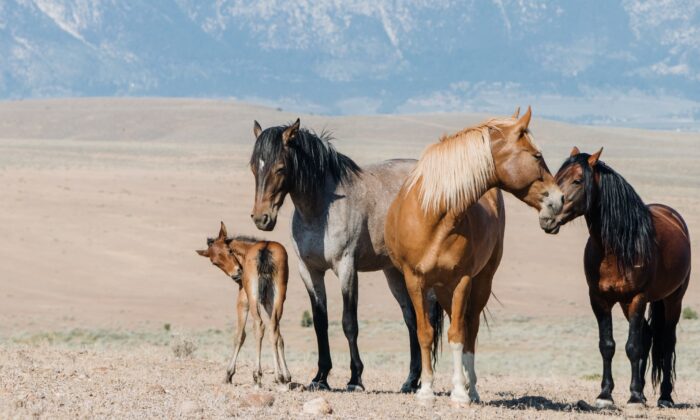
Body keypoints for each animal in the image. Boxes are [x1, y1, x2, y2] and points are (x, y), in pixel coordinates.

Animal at [194, 223, 290, 388]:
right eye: (214, 262)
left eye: (229, 251)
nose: (236, 274)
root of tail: (264, 250)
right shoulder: (268, 302)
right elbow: (279, 336)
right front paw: (286, 375)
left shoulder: (243, 300)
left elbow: (239, 335)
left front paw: (228, 374)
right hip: (278, 296)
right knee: (272, 328)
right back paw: (278, 376)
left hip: (252, 297)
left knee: (259, 326)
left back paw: (257, 375)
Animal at [249, 119, 440, 394]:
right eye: (254, 166)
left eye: (280, 168)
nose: (261, 218)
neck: (319, 211)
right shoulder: (309, 271)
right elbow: (320, 322)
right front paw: (320, 377)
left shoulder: (346, 268)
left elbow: (349, 322)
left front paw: (355, 378)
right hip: (393, 272)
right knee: (411, 319)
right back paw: (409, 382)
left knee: (428, 318)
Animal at [386, 106, 568, 402]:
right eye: (537, 155)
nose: (559, 199)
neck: (435, 216)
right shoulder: (415, 281)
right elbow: (425, 333)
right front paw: (426, 390)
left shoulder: (462, 281)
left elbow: (459, 335)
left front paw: (460, 391)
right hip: (442, 289)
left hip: (480, 282)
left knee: (470, 328)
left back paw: (471, 388)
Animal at [556, 147, 692, 406]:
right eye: (556, 178)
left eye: (577, 180)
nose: (548, 216)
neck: (615, 248)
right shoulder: (599, 299)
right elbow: (608, 345)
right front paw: (606, 394)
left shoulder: (638, 297)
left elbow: (632, 347)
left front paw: (635, 397)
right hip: (628, 303)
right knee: (647, 336)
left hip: (672, 300)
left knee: (666, 341)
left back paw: (664, 397)